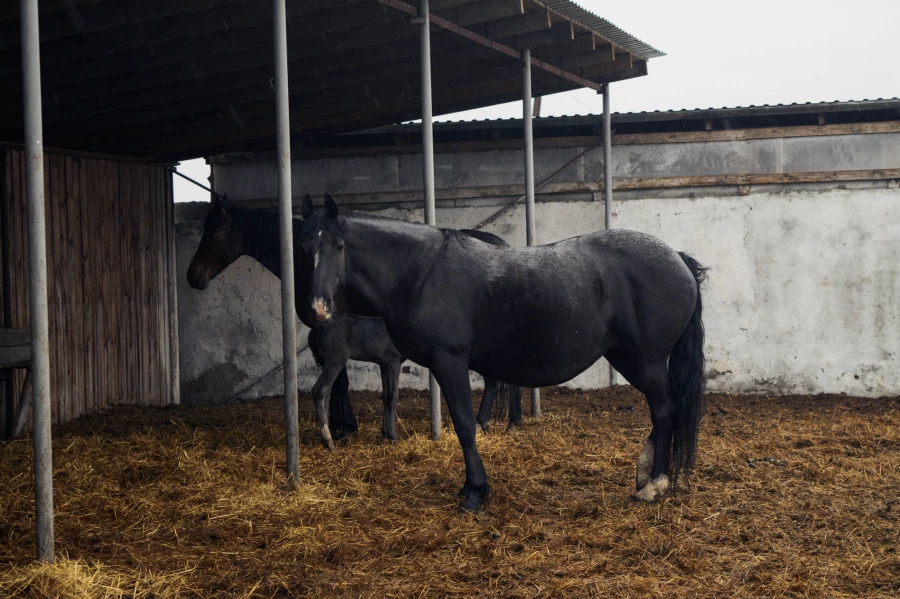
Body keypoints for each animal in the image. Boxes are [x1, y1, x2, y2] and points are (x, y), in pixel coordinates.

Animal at [184, 197, 524, 446]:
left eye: (212, 232)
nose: (192, 277)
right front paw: (342, 426)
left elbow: (341, 381)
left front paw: (344, 426)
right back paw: (506, 421)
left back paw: (500, 421)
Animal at [298, 195, 708, 512]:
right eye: (304, 249)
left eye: (339, 247)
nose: (316, 310)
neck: (421, 272)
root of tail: (678, 259)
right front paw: (470, 487)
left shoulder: (450, 362)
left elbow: (465, 426)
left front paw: (475, 493)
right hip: (629, 358)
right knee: (663, 411)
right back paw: (645, 473)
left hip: (645, 360)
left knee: (665, 410)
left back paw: (654, 484)